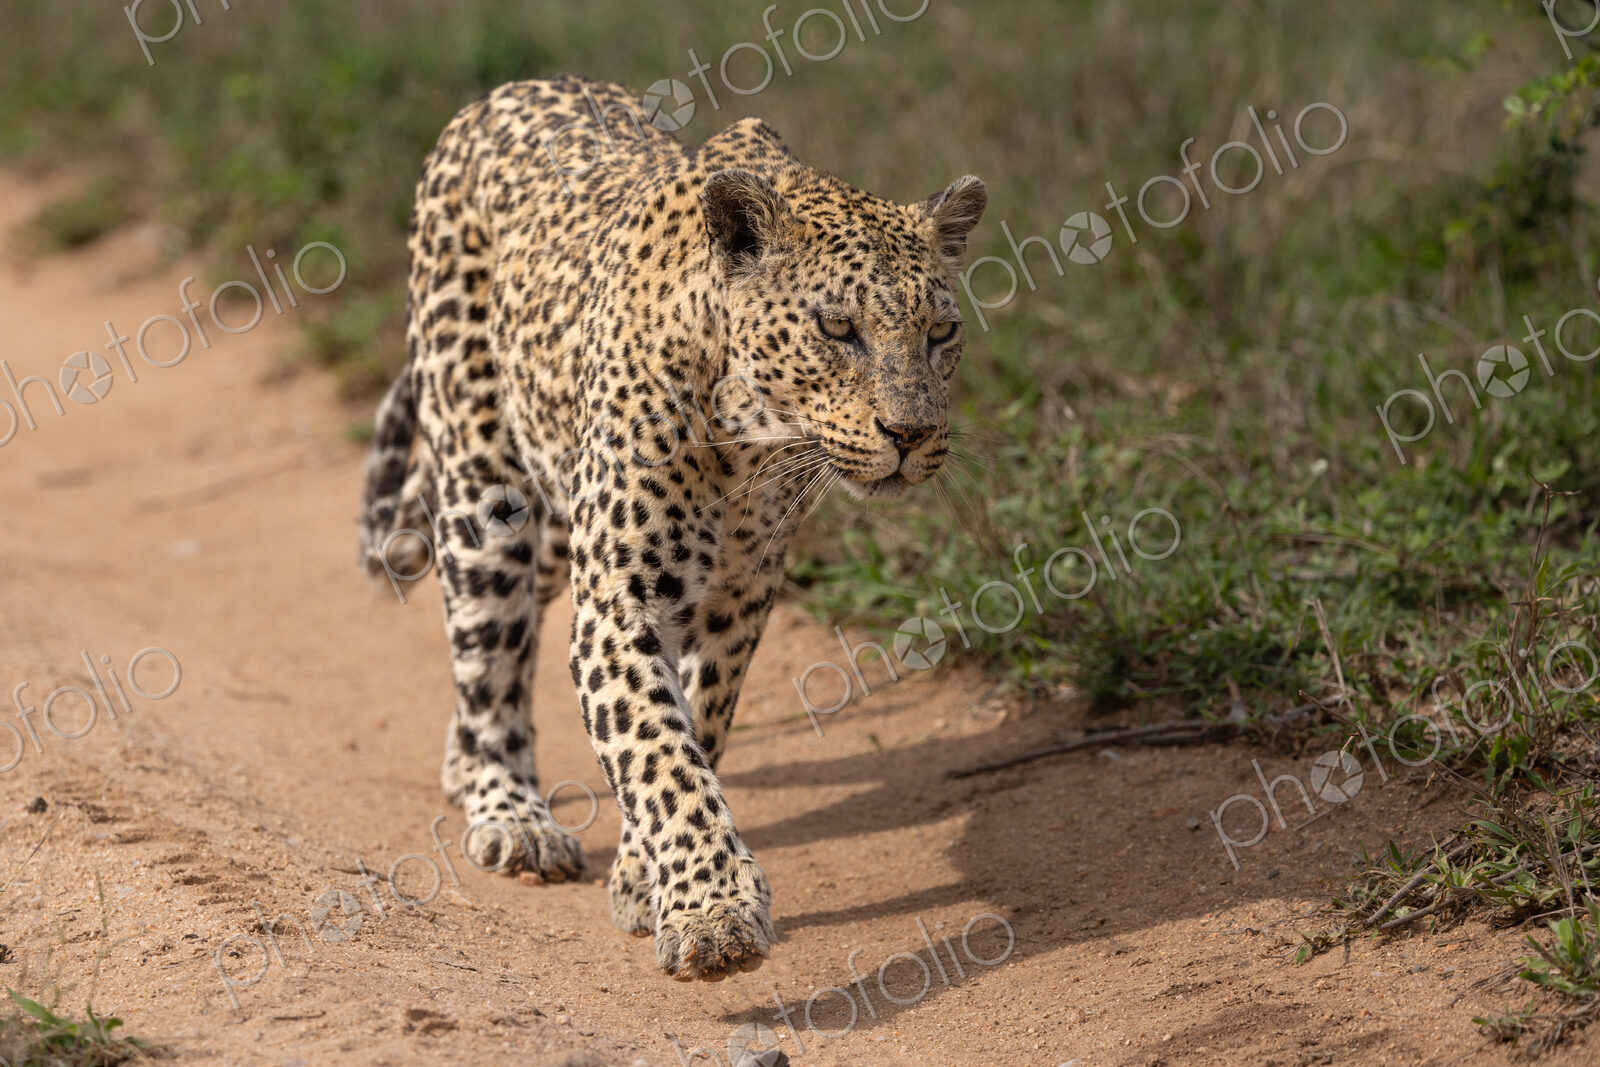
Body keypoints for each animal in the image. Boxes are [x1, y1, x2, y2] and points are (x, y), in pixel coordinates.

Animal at [357, 75, 986, 981]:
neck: (753, 441)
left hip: (557, 514)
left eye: (942, 332)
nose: (911, 434)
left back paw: (464, 767)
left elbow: (698, 723)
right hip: (488, 489)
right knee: (487, 655)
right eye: (837, 329)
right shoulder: (622, 601)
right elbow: (656, 749)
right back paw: (507, 811)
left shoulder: (738, 596)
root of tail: (503, 91)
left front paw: (643, 878)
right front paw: (712, 912)